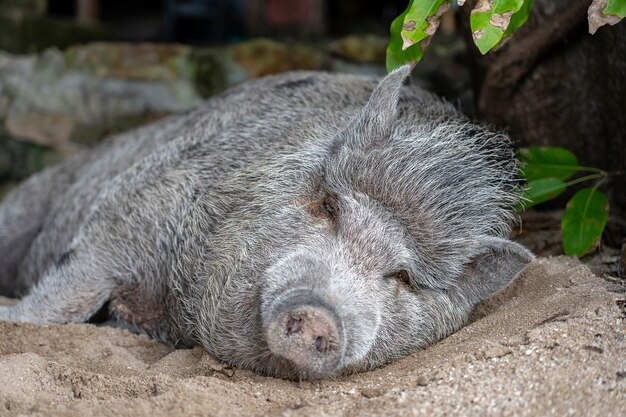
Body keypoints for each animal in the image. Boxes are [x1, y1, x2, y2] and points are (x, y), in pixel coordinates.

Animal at [0, 64, 532, 376]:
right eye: (329, 207)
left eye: (402, 276)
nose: (320, 312)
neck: (176, 318)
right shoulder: (133, 210)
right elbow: (70, 292)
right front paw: (11, 319)